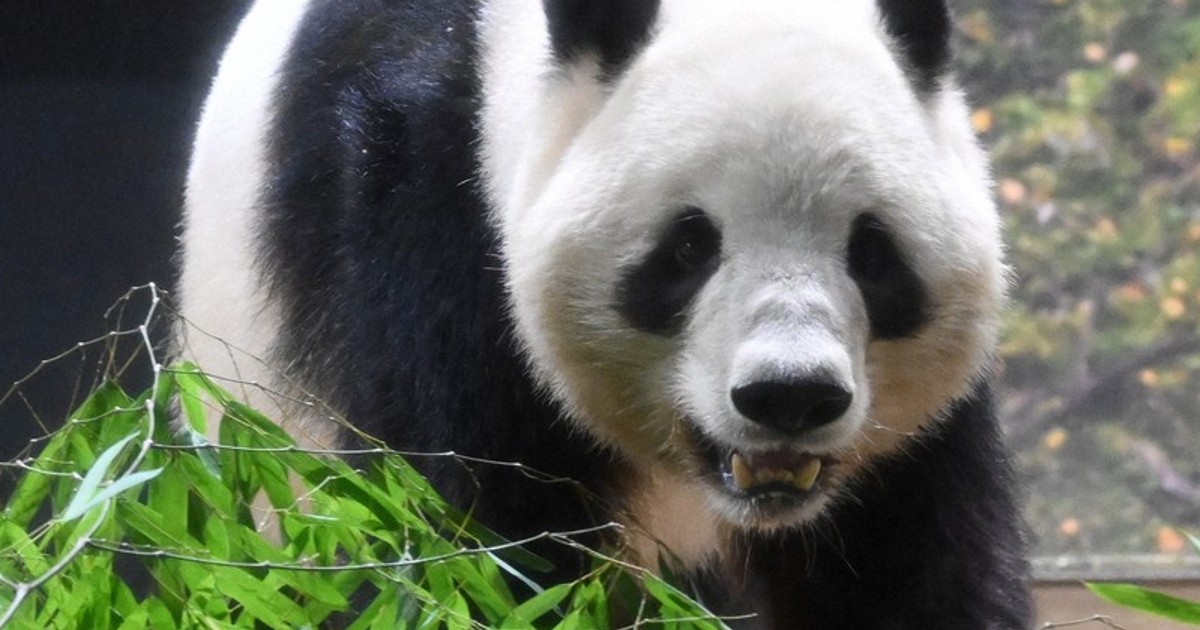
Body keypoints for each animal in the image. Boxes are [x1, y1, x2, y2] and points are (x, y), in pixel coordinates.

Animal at [177, 0, 1033, 627]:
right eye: (689, 245)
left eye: (870, 250)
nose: (789, 396)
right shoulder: (424, 222)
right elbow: (469, 540)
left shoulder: (905, 449)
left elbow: (913, 570)